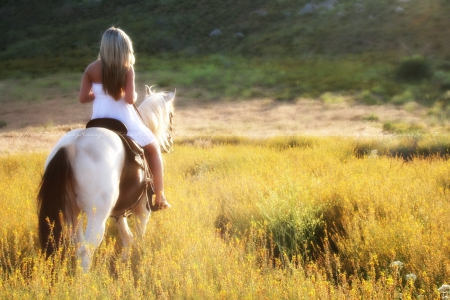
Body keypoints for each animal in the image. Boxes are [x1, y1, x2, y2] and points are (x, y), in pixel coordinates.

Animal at [37, 85, 175, 272]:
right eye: (171, 115)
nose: (170, 141)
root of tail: (72, 146)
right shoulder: (142, 208)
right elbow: (139, 236)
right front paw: (138, 260)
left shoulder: (119, 211)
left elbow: (127, 237)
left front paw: (124, 262)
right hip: (97, 214)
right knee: (87, 248)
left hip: (71, 212)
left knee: (77, 244)